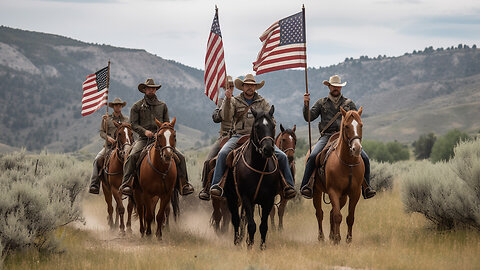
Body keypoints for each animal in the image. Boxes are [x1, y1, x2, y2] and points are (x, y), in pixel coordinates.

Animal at [224, 105, 280, 249]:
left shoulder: (269, 200)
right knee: (236, 219)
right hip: (232, 197)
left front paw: (261, 247)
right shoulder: (246, 197)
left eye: (273, 125)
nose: (268, 149)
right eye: (257, 127)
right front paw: (250, 247)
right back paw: (237, 242)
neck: (259, 167)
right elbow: (251, 225)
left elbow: (263, 226)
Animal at [312, 106, 364, 245]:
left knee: (331, 213)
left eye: (361, 125)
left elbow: (349, 217)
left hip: (343, 196)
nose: (356, 148)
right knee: (320, 213)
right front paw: (336, 239)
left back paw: (332, 236)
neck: (348, 164)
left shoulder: (355, 193)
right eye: (346, 126)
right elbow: (337, 216)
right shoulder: (333, 191)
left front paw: (347, 239)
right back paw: (321, 237)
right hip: (316, 191)